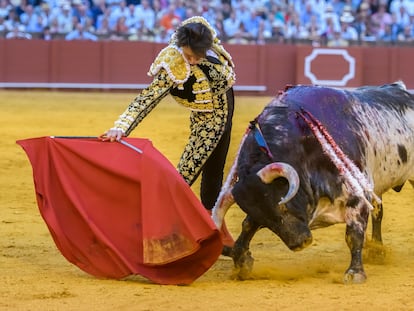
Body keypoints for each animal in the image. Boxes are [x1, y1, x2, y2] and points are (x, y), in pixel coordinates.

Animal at [212, 82, 414, 286]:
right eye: (264, 219)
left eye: (283, 206)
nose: (300, 242)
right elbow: (247, 225)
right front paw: (241, 262)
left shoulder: (357, 196)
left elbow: (353, 234)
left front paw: (355, 273)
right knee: (378, 211)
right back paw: (377, 251)